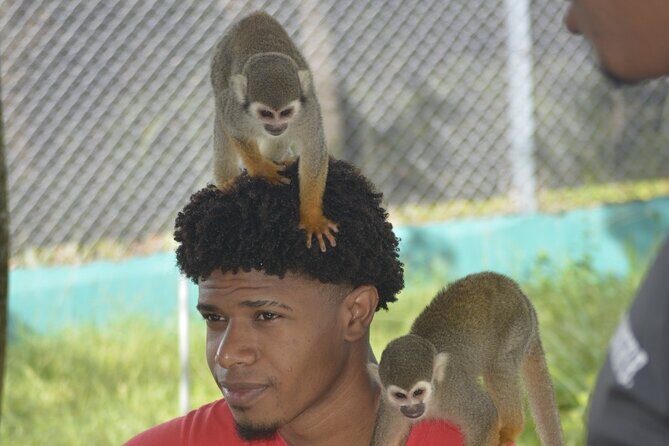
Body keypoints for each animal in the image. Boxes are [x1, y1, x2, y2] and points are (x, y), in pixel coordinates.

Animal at [210, 11, 338, 252]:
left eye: (285, 112)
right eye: (266, 114)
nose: (276, 126)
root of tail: (256, 15)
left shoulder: (308, 111)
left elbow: (314, 150)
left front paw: (312, 218)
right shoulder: (236, 111)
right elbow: (232, 129)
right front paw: (262, 169)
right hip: (218, 67)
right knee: (220, 117)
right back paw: (228, 182)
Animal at [369, 272, 563, 446]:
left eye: (418, 392)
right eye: (400, 395)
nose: (412, 409)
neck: (432, 401)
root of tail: (522, 296)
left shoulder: (454, 390)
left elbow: (485, 418)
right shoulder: (390, 409)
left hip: (516, 326)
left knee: (496, 368)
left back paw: (511, 429)